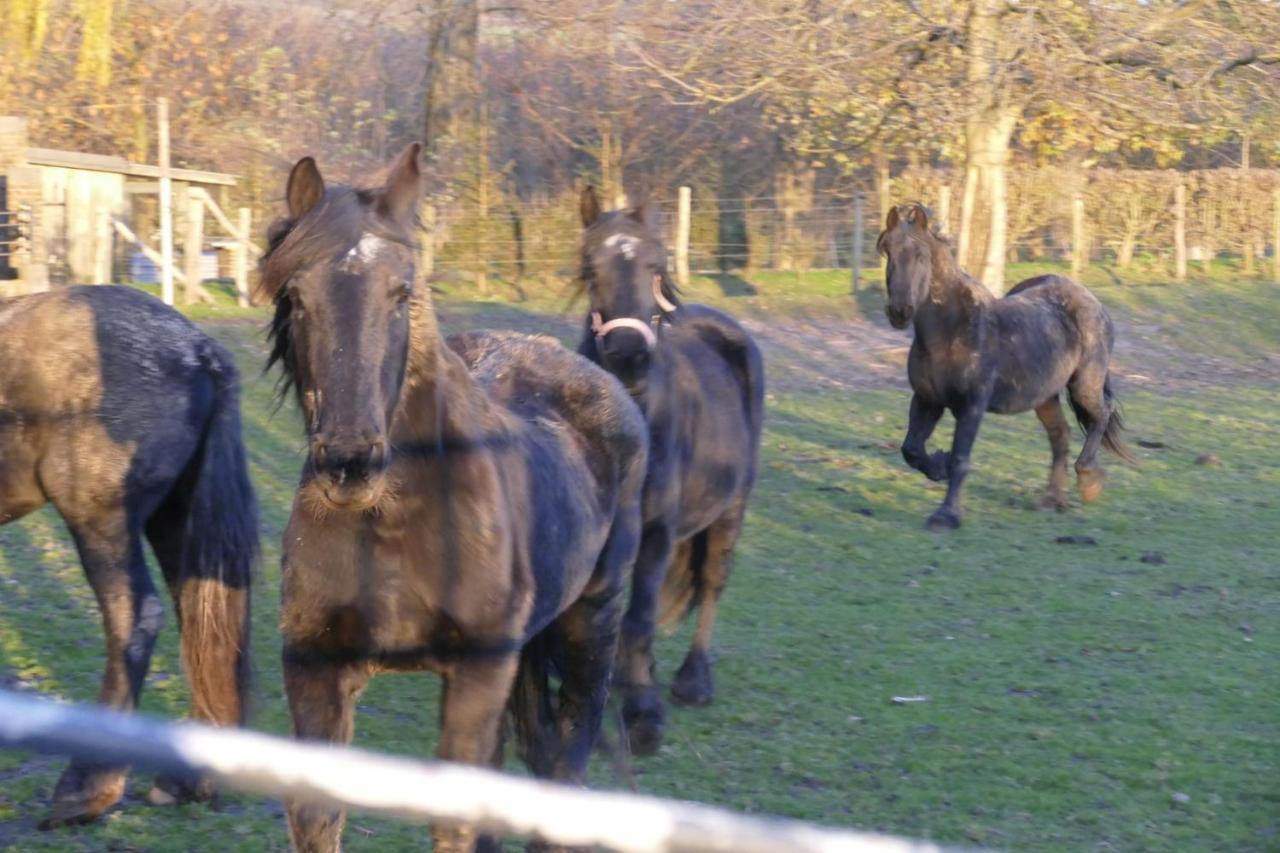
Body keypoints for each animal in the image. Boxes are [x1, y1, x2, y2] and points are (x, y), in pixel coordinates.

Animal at [0, 285, 257, 824]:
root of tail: (198, 349)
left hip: (102, 522)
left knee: (134, 618)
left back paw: (85, 789)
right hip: (176, 521)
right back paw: (187, 783)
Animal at [259, 146, 645, 850]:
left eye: (401, 292)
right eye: (296, 297)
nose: (350, 463)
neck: (395, 527)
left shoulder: (476, 675)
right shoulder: (314, 672)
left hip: (592, 622)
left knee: (563, 771)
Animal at [576, 185, 762, 753]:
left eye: (656, 267)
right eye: (589, 268)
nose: (629, 357)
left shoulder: (656, 529)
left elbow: (639, 616)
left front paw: (643, 713)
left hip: (732, 510)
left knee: (713, 581)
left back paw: (692, 680)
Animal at [875, 202, 1136, 527]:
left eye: (922, 255)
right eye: (887, 251)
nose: (900, 311)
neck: (950, 332)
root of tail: (1092, 301)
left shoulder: (971, 407)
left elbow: (961, 458)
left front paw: (946, 515)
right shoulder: (927, 399)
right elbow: (911, 449)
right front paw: (938, 467)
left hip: (1084, 384)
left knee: (1100, 414)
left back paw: (1089, 480)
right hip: (1044, 396)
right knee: (1060, 435)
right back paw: (1052, 499)